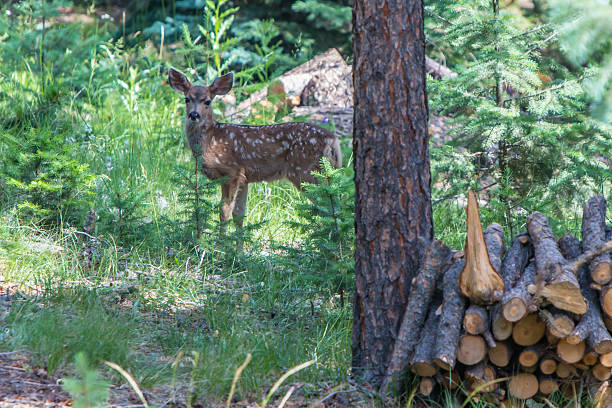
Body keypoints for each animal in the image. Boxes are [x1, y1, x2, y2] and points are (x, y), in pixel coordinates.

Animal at [167, 68, 342, 244]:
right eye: (187, 99)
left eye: (208, 101)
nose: (194, 115)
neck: (210, 141)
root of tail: (333, 140)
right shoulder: (245, 178)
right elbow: (239, 214)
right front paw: (237, 248)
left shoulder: (231, 172)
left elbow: (224, 211)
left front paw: (220, 244)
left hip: (305, 171)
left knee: (327, 205)